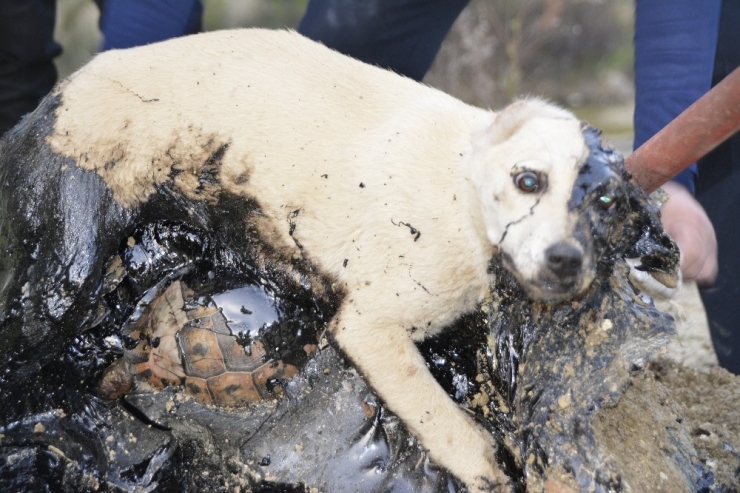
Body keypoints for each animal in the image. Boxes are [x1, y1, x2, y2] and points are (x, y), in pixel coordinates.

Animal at [4, 28, 632, 490]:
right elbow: (435, 408)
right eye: (528, 181)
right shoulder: (373, 322)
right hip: (68, 260)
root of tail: (38, 114)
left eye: (606, 201)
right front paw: (484, 465)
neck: (462, 183)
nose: (565, 261)